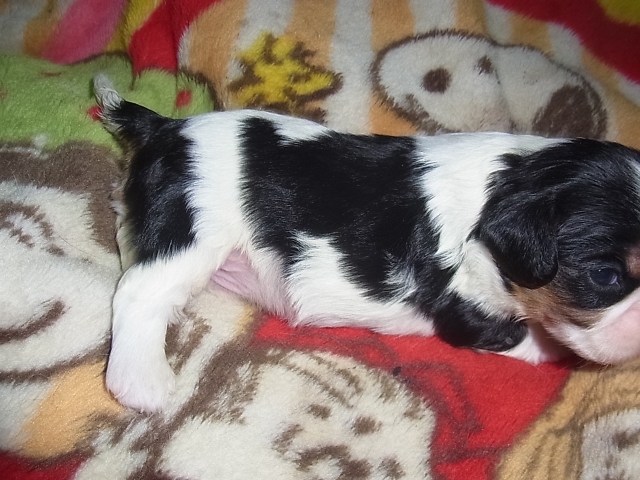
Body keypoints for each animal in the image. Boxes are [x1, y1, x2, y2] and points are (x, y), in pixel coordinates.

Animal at [94, 75, 640, 412]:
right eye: (605, 276)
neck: (516, 176)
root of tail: (165, 126)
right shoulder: (466, 306)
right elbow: (526, 337)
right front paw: (554, 352)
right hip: (193, 231)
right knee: (139, 292)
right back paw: (145, 385)